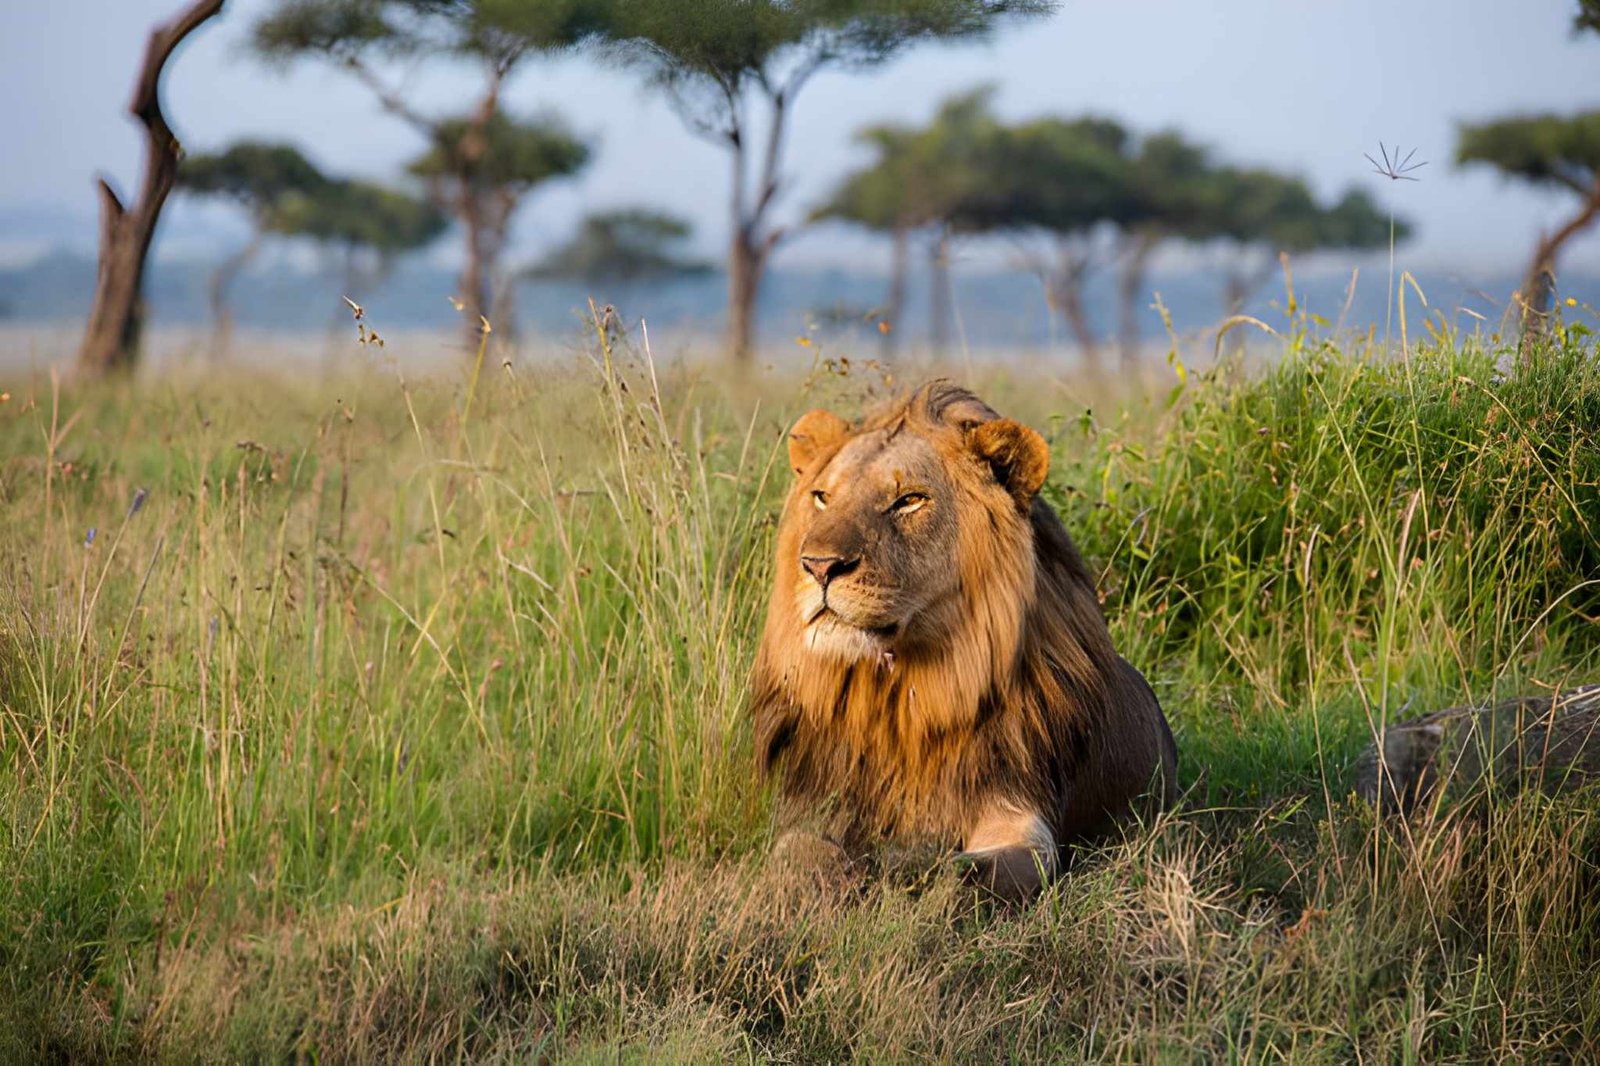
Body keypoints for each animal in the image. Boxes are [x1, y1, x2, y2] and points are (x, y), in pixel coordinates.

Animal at [750, 380, 1178, 900]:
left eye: (909, 500)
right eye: (822, 497)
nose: (818, 565)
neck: (899, 705)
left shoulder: (1021, 816)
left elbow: (959, 871)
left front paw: (898, 864)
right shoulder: (812, 806)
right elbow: (797, 854)